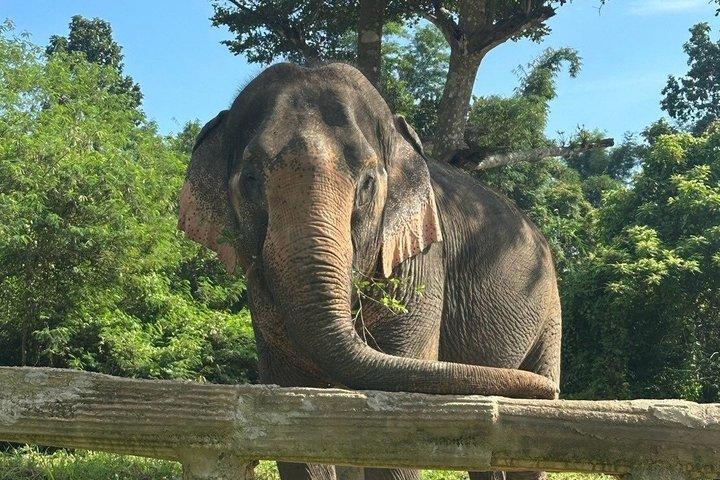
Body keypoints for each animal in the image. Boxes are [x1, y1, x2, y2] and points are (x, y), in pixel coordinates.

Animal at [178, 62, 561, 480]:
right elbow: (292, 409)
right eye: (249, 179)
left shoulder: (422, 264)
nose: (544, 388)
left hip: (550, 312)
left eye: (367, 183)